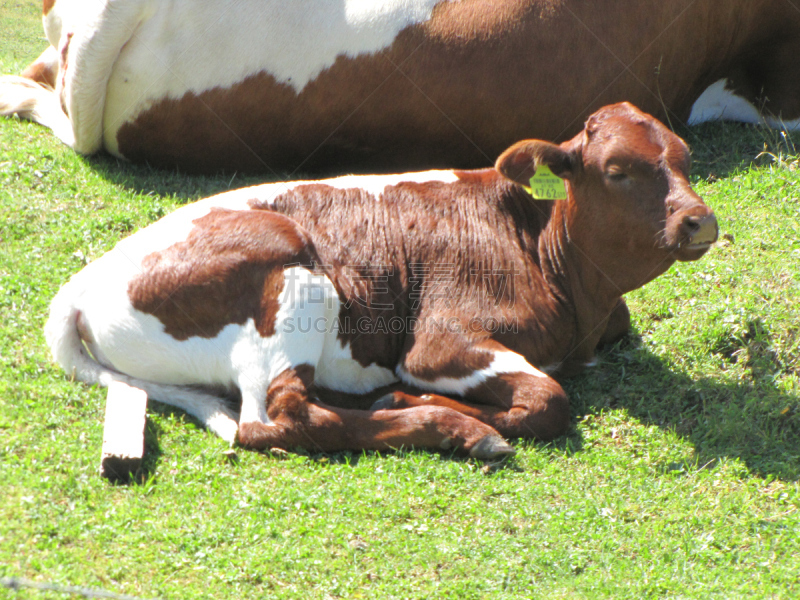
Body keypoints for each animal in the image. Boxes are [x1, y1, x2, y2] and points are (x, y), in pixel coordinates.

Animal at [43, 104, 720, 460]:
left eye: (685, 160)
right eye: (618, 170)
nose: (700, 219)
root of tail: (86, 279)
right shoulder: (439, 342)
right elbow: (547, 400)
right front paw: (425, 403)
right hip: (293, 272)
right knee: (279, 418)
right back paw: (455, 428)